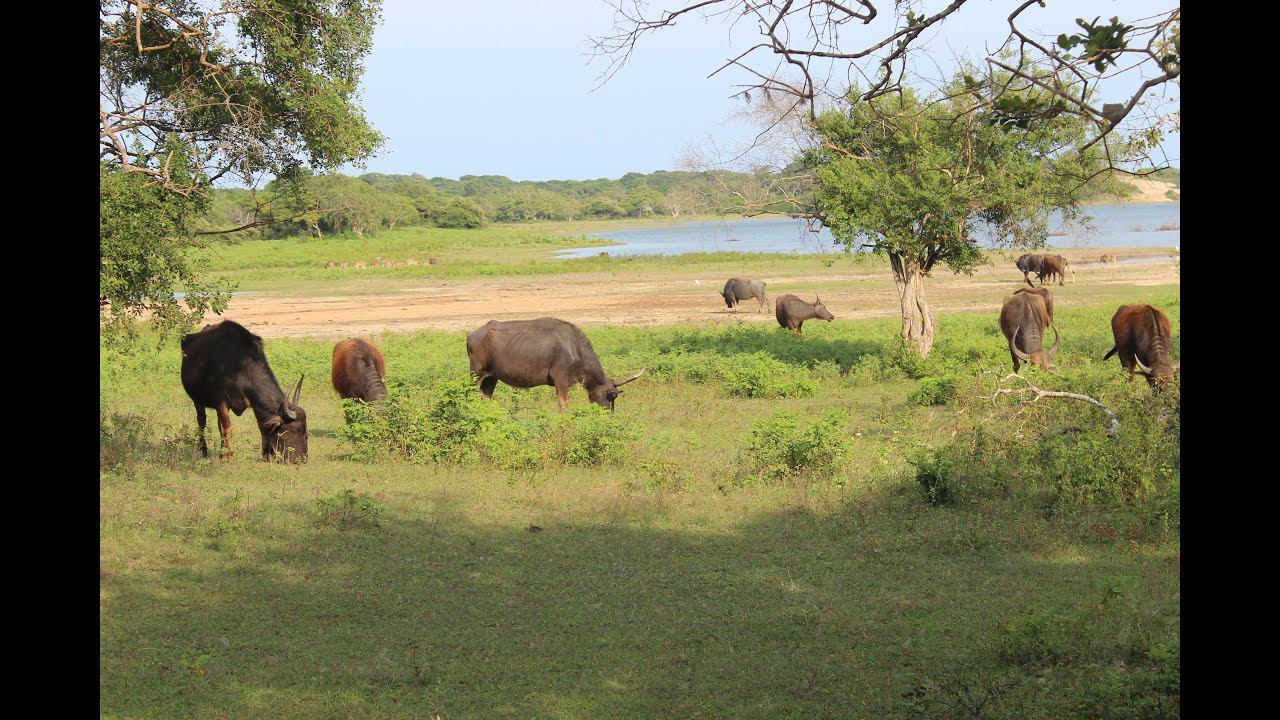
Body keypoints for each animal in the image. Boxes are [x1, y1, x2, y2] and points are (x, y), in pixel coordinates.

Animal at [179, 317, 308, 458]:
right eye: (295, 429)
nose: (302, 458)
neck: (239, 366)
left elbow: (260, 426)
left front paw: (265, 454)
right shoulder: (221, 402)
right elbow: (227, 428)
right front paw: (228, 455)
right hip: (197, 400)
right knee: (202, 421)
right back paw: (204, 450)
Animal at [465, 317, 645, 412]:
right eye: (611, 395)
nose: (609, 415)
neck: (575, 349)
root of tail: (472, 334)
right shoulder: (561, 381)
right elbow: (563, 406)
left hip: (491, 377)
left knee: (485, 397)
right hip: (476, 374)